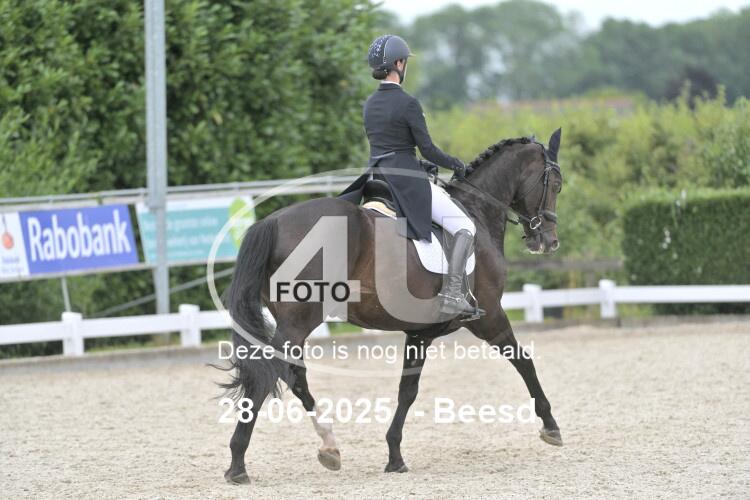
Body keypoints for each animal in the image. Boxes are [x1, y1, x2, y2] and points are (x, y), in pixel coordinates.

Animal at [220, 130, 564, 484]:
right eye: (556, 184)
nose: (548, 241)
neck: (477, 211)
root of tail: (273, 223)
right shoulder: (490, 316)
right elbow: (524, 362)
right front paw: (551, 426)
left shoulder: (420, 332)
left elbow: (407, 390)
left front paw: (394, 455)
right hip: (300, 319)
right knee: (269, 373)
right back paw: (238, 463)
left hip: (292, 321)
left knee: (293, 374)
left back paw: (329, 446)